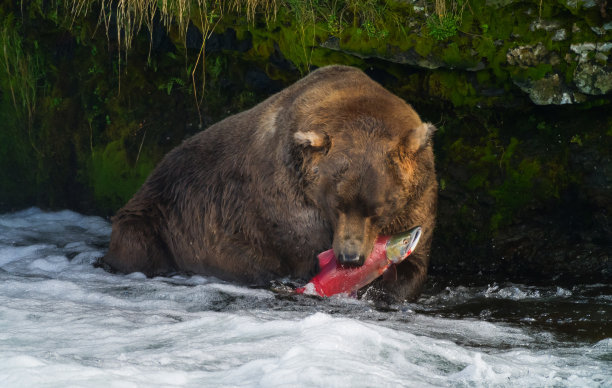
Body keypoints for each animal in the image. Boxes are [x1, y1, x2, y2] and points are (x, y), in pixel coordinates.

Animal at [101, 65, 436, 302]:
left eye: (377, 209)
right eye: (336, 204)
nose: (350, 258)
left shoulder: (419, 201)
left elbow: (415, 265)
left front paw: (387, 290)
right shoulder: (286, 204)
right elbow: (299, 252)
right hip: (161, 216)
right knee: (139, 243)